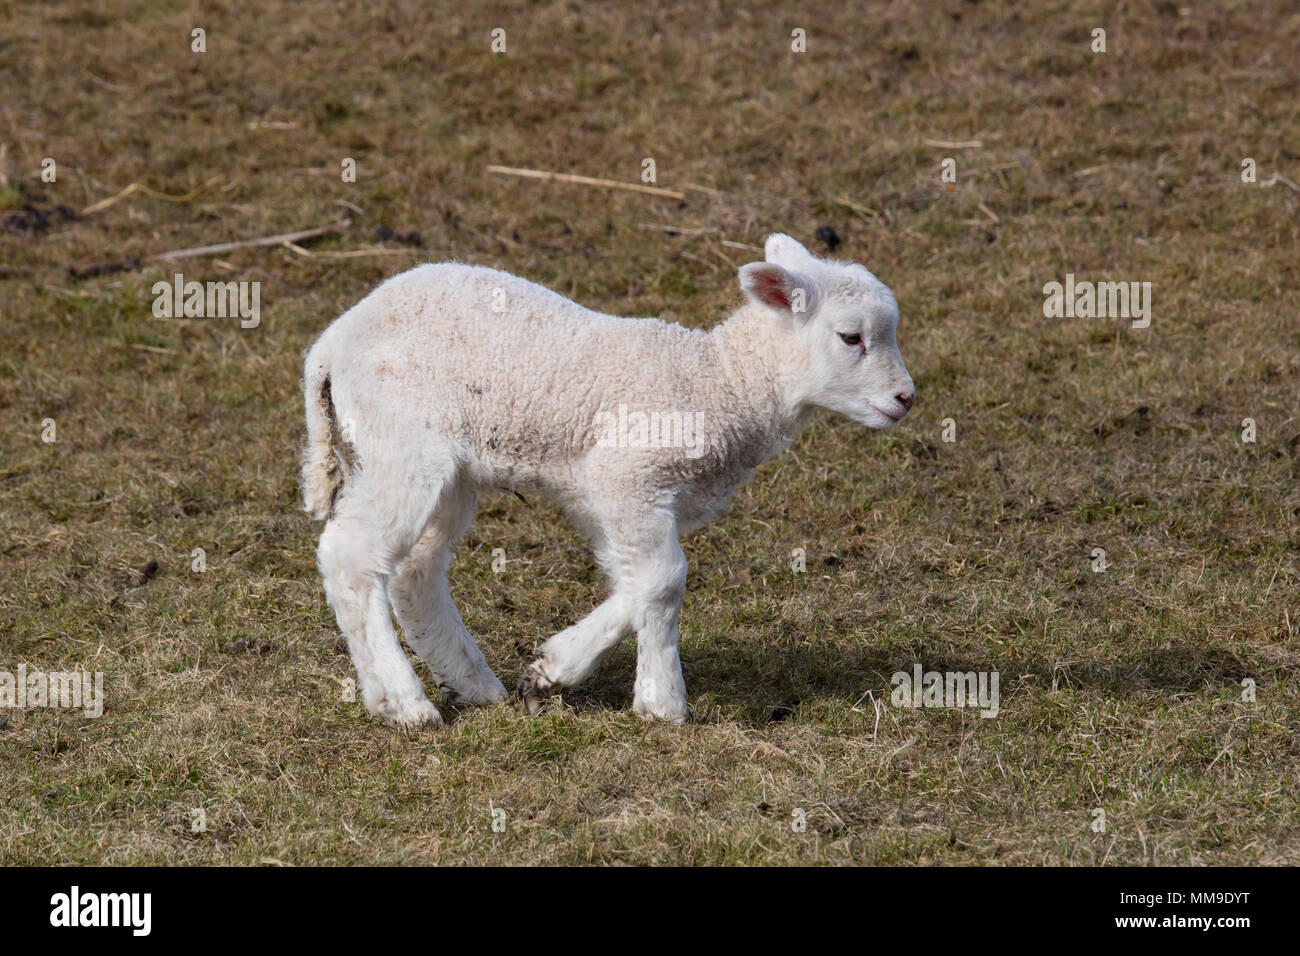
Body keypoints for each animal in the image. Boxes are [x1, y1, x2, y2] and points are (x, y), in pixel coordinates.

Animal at [301, 235, 915, 728]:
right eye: (851, 337)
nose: (906, 398)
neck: (720, 382)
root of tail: (331, 342)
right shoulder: (628, 476)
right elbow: (665, 580)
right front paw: (663, 702)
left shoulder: (610, 497)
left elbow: (635, 583)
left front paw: (551, 670)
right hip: (404, 443)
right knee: (351, 555)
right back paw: (402, 704)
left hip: (448, 470)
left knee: (415, 571)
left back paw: (473, 685)